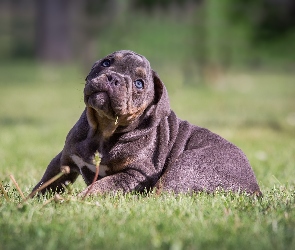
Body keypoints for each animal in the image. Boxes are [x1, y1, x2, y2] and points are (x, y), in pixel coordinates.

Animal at [32, 49, 262, 196]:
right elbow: (45, 182)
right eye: (106, 62)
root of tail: (254, 188)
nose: (114, 78)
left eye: (139, 84)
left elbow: (102, 185)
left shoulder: (135, 174)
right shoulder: (64, 161)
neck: (103, 130)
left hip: (186, 164)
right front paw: (30, 202)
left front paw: (78, 200)